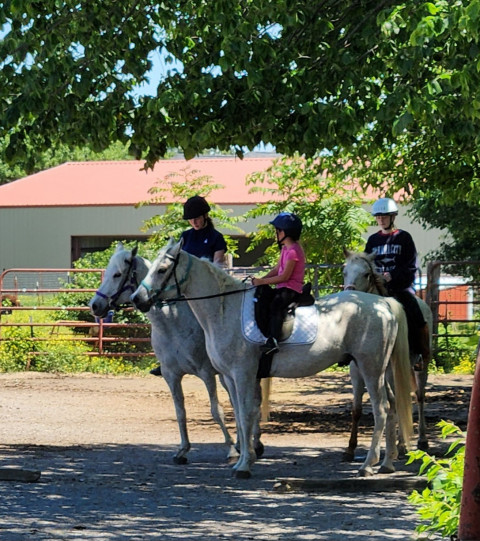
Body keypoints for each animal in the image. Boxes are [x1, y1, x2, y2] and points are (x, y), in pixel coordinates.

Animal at [88, 243, 242, 462]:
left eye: (117, 275)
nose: (94, 305)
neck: (172, 323)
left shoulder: (206, 373)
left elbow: (216, 411)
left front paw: (230, 450)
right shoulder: (171, 376)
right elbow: (180, 411)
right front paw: (183, 450)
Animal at [131, 238, 412, 478]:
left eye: (162, 269)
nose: (137, 299)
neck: (224, 310)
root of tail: (383, 304)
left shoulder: (242, 374)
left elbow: (246, 415)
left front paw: (244, 465)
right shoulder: (230, 377)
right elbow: (241, 416)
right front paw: (245, 459)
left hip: (370, 368)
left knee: (381, 409)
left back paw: (368, 465)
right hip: (379, 369)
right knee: (392, 406)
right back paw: (386, 463)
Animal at [344, 249, 434, 452]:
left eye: (366, 274)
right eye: (344, 272)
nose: (349, 293)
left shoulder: (391, 370)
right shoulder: (357, 371)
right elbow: (356, 409)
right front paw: (350, 448)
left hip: (419, 366)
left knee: (419, 397)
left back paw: (421, 439)